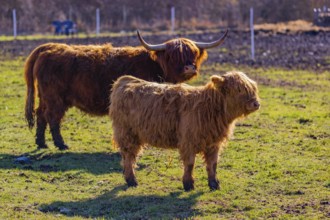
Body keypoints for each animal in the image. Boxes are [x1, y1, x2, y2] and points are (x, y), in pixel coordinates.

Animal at [24, 29, 228, 150]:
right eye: (173, 55)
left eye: (193, 53)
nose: (189, 68)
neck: (154, 65)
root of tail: (48, 47)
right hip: (55, 97)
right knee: (52, 117)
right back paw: (60, 144)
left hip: (45, 96)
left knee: (41, 114)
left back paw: (41, 143)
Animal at [109, 71, 260, 191]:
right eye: (239, 89)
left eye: (253, 88)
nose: (256, 103)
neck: (210, 108)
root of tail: (125, 80)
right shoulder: (189, 141)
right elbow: (190, 163)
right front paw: (188, 184)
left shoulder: (213, 143)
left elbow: (213, 164)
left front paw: (214, 184)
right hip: (127, 134)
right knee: (128, 156)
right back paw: (132, 181)